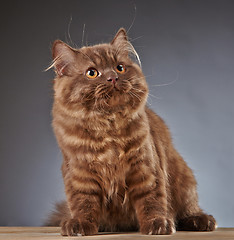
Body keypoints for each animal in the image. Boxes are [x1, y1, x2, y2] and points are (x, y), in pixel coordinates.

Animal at [46, 27, 217, 235]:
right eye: (92, 73)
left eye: (120, 68)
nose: (113, 77)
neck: (108, 127)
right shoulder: (81, 174)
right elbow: (84, 203)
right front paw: (79, 225)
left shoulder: (145, 167)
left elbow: (151, 199)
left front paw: (158, 224)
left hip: (185, 181)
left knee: (188, 209)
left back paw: (201, 221)